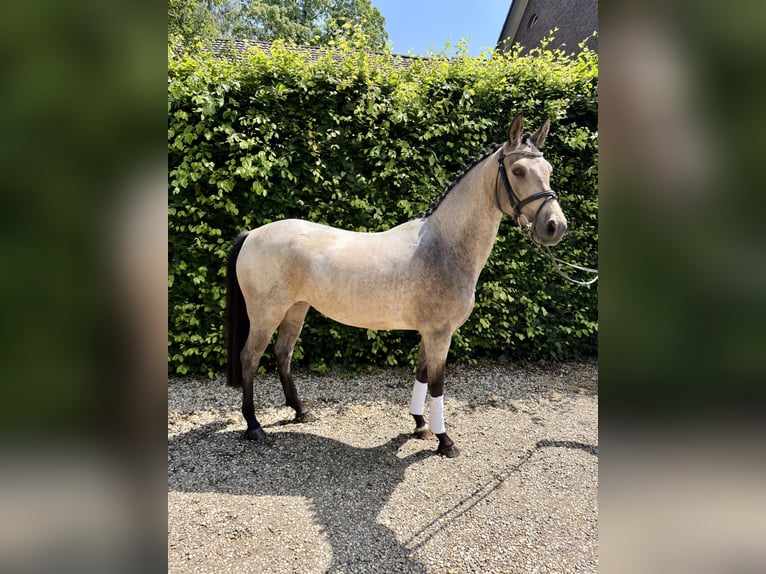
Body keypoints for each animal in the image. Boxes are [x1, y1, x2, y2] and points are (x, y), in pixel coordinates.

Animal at [225, 113, 567, 457]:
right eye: (518, 171)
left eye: (549, 169)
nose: (555, 226)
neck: (443, 246)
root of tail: (252, 234)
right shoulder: (440, 333)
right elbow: (437, 383)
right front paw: (445, 441)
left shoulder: (429, 332)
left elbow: (421, 373)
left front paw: (420, 425)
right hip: (266, 315)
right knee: (250, 358)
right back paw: (253, 426)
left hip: (296, 309)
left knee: (283, 354)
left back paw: (300, 411)